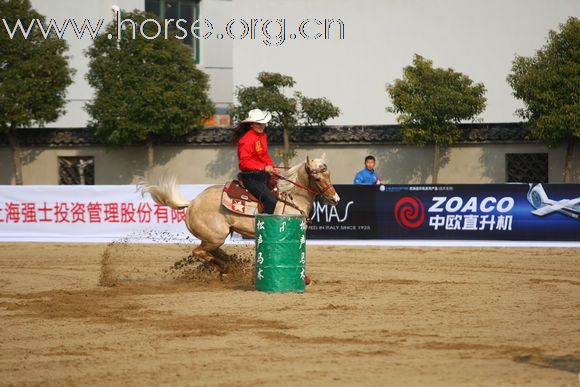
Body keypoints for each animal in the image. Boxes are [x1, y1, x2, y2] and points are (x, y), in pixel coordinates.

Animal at [140, 156, 340, 274]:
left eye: (329, 175)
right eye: (317, 178)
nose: (336, 199)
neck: (290, 198)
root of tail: (192, 202)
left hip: (214, 237)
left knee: (210, 251)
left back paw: (228, 263)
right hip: (216, 236)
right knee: (200, 252)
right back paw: (223, 266)